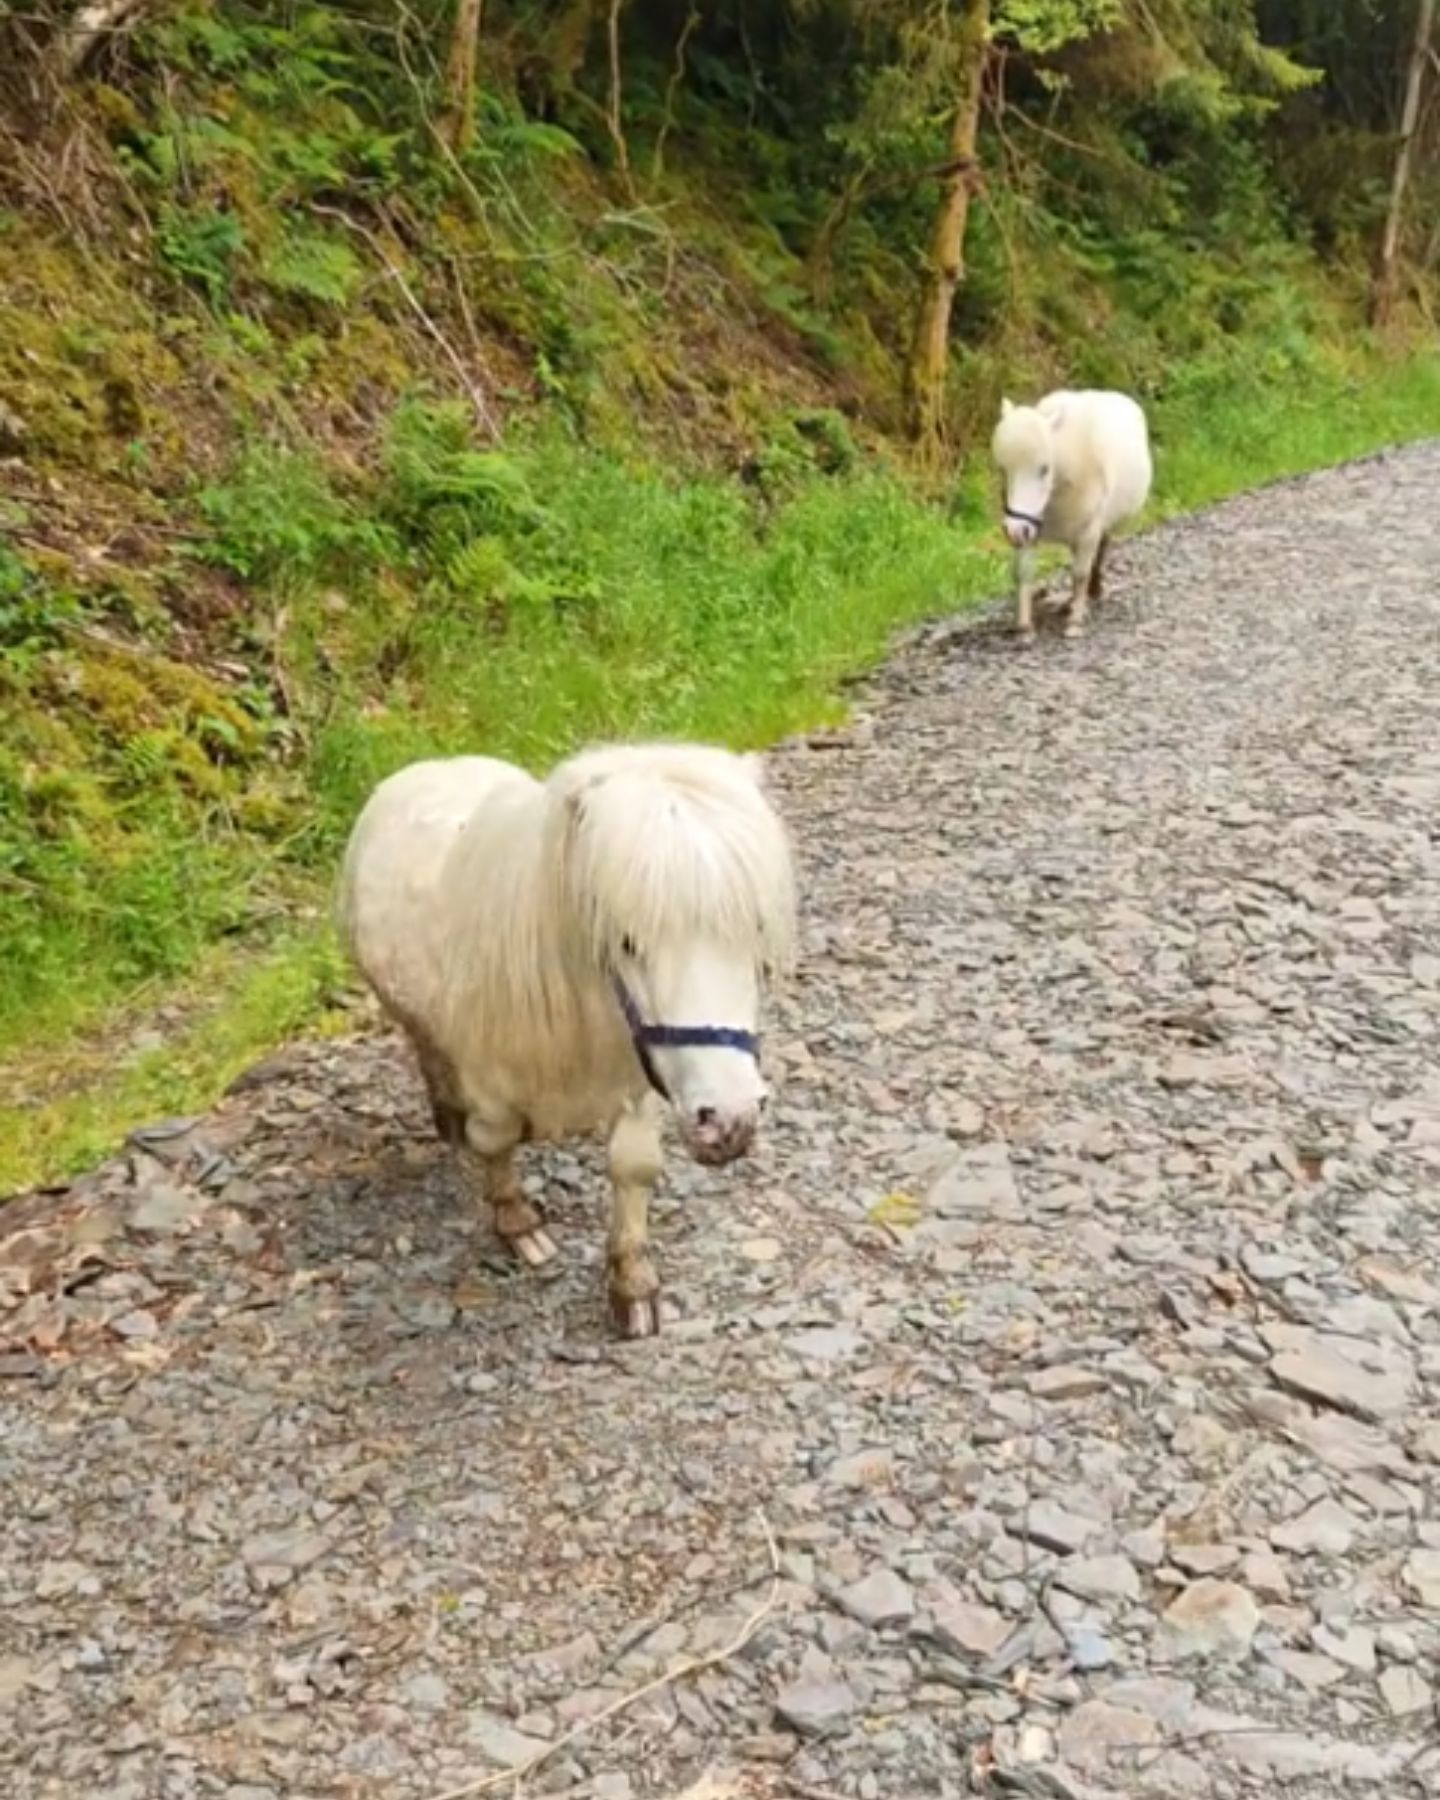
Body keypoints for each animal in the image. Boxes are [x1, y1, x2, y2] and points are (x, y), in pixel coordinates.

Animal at [336, 741, 797, 1338]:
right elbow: (495, 1141)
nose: (729, 1120)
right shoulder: (489, 1082)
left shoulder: (639, 1077)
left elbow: (633, 1165)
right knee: (430, 1058)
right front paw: (516, 1222)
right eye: (626, 940)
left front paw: (632, 1285)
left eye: (755, 928)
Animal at [990, 388, 1153, 640]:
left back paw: (1091, 594)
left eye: (1044, 469)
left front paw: (1075, 623)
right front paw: (1025, 628)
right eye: (1002, 469)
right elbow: (1023, 573)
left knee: (1099, 552)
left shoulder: (1089, 529)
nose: (1014, 530)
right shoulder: (1031, 530)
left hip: (1102, 524)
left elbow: (1080, 573)